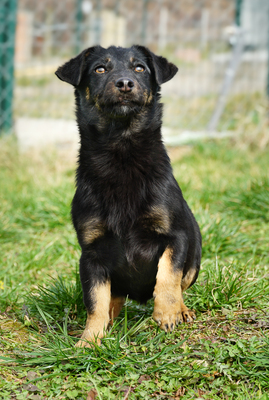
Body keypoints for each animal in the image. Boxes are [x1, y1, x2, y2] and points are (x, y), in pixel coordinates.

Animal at [55, 44, 201, 346]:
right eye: (100, 69)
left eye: (139, 68)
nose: (124, 83)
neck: (120, 153)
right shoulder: (91, 254)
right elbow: (95, 300)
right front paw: (90, 339)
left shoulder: (176, 236)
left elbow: (168, 276)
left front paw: (167, 315)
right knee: (114, 298)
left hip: (196, 249)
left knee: (181, 283)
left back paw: (181, 310)